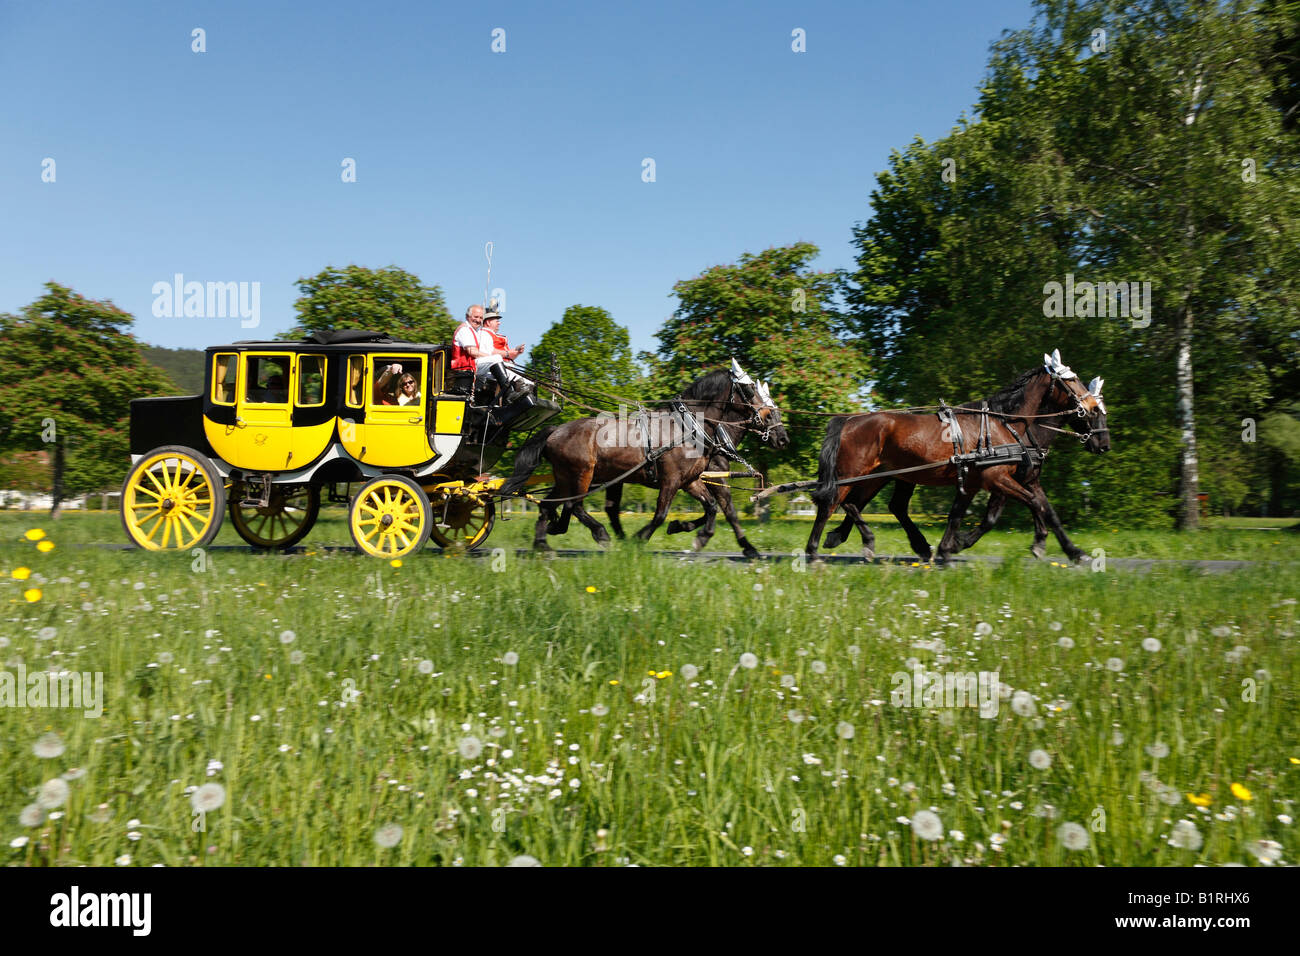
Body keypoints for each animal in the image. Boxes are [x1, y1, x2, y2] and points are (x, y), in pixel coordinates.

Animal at [501, 361, 785, 554]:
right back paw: (599, 534)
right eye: (748, 390)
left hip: (568, 477)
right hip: (582, 474)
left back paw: (544, 541)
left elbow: (713, 507)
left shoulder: (691, 480)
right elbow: (661, 514)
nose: (782, 438)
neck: (689, 428)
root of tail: (556, 430)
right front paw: (640, 538)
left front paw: (694, 533)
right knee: (575, 505)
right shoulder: (672, 480)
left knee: (552, 504)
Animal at [811, 348, 1107, 561]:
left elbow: (964, 515)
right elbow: (1033, 505)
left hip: (887, 476)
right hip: (854, 474)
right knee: (832, 504)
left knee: (868, 504)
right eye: (1071, 380)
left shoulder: (992, 481)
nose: (1103, 444)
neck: (1004, 423)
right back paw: (815, 550)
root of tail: (850, 420)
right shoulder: (997, 478)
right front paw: (1039, 542)